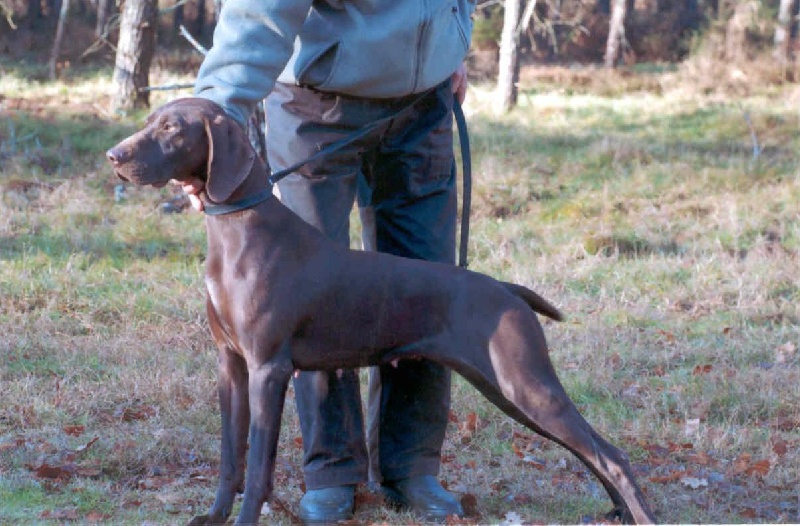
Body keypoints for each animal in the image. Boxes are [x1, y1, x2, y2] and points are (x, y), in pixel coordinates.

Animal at [106, 99, 656, 526]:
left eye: (171, 128)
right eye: (152, 120)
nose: (114, 156)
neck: (238, 231)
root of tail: (504, 288)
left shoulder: (268, 368)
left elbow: (259, 464)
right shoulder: (231, 365)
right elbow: (230, 458)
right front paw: (215, 515)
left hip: (525, 384)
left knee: (611, 454)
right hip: (504, 389)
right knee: (592, 452)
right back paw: (618, 512)